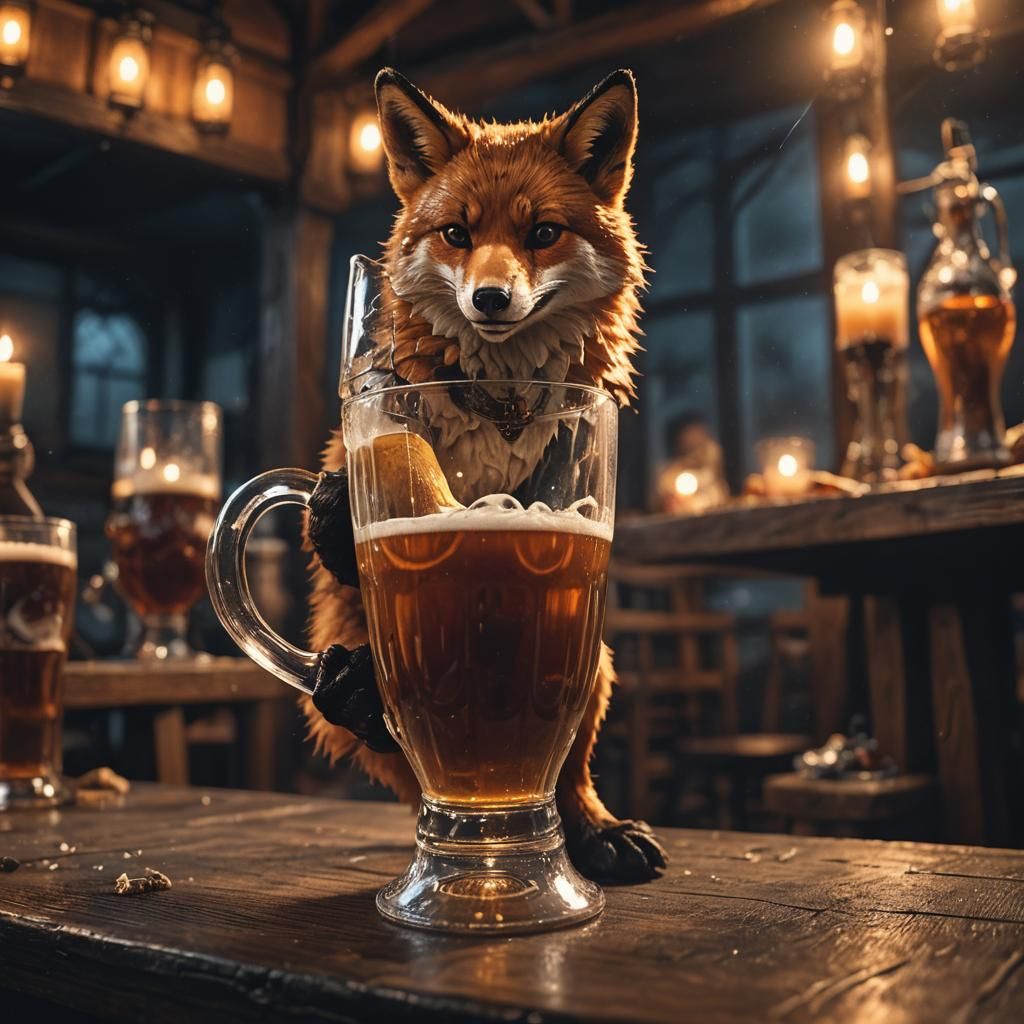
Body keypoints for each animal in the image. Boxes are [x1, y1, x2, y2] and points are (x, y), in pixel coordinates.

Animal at [301, 67, 666, 883]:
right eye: (457, 234)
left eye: (543, 233)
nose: (490, 299)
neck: (498, 405)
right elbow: (347, 533)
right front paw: (338, 519)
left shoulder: (565, 477)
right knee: (395, 742)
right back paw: (358, 696)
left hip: (595, 659)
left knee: (567, 772)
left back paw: (594, 832)